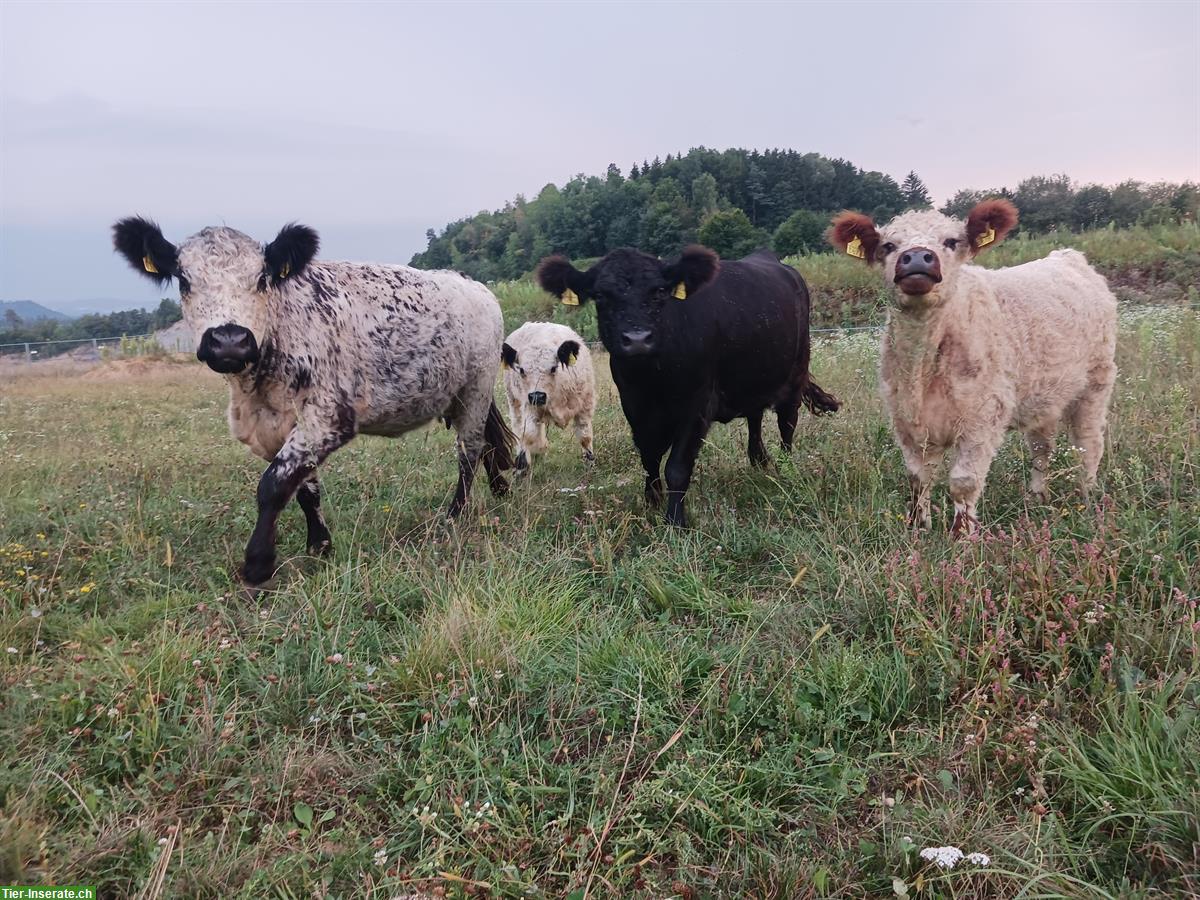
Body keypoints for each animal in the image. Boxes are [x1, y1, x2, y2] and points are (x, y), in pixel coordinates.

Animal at [114, 216, 518, 588]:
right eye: (184, 280)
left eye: (261, 279)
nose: (229, 340)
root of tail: (472, 284)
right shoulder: (282, 425)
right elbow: (305, 488)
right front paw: (319, 546)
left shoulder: (329, 416)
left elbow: (273, 485)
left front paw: (258, 564)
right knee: (486, 443)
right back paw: (500, 489)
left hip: (477, 385)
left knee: (469, 450)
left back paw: (455, 513)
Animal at [499, 321, 597, 468]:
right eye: (521, 370)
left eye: (553, 368)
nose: (537, 396)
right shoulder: (529, 406)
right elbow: (528, 434)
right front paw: (527, 460)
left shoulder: (585, 405)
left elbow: (585, 436)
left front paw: (590, 463)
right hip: (514, 401)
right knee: (518, 428)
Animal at [540, 247, 840, 528]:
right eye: (601, 295)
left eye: (660, 291)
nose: (637, 339)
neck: (652, 378)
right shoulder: (634, 406)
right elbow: (648, 456)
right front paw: (652, 500)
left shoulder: (697, 405)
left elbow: (677, 467)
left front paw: (675, 521)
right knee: (755, 417)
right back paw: (758, 460)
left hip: (796, 371)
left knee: (787, 424)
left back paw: (785, 468)